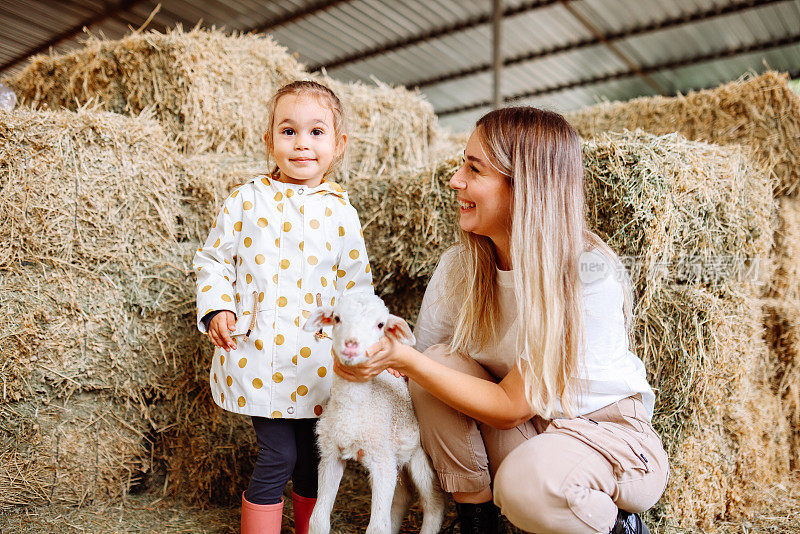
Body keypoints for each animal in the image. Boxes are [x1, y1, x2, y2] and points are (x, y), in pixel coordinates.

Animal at [304, 294, 446, 534]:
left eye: (380, 325)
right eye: (337, 318)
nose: (351, 345)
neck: (355, 409)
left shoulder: (381, 460)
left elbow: (377, 527)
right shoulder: (331, 454)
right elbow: (317, 520)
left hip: (419, 455)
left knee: (433, 503)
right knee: (402, 497)